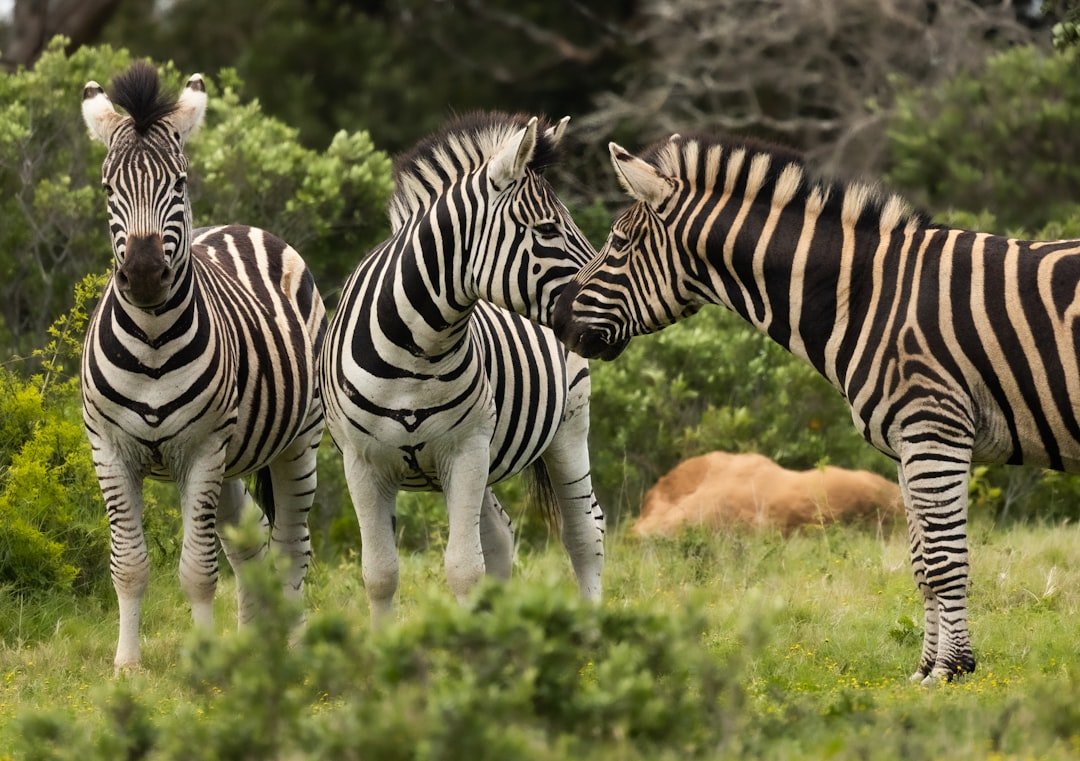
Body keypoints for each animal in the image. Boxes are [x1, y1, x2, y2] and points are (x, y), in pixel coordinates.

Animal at [80, 62, 326, 670]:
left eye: (180, 184)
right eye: (108, 188)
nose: (145, 273)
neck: (150, 342)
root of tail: (240, 227)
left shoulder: (202, 448)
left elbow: (197, 570)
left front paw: (207, 659)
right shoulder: (109, 448)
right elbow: (130, 564)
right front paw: (127, 666)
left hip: (298, 441)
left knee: (291, 545)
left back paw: (293, 645)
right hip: (237, 458)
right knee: (252, 542)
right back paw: (254, 639)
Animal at [321, 112, 605, 623]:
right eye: (547, 230)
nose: (599, 315)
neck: (415, 353)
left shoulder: (466, 448)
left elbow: (463, 569)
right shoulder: (362, 462)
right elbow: (380, 573)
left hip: (568, 426)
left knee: (584, 531)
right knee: (500, 537)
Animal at [554, 134, 1080, 685]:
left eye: (617, 244)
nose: (558, 317)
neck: (867, 297)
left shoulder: (934, 428)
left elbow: (944, 561)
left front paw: (951, 670)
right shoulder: (907, 444)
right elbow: (920, 563)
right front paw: (924, 671)